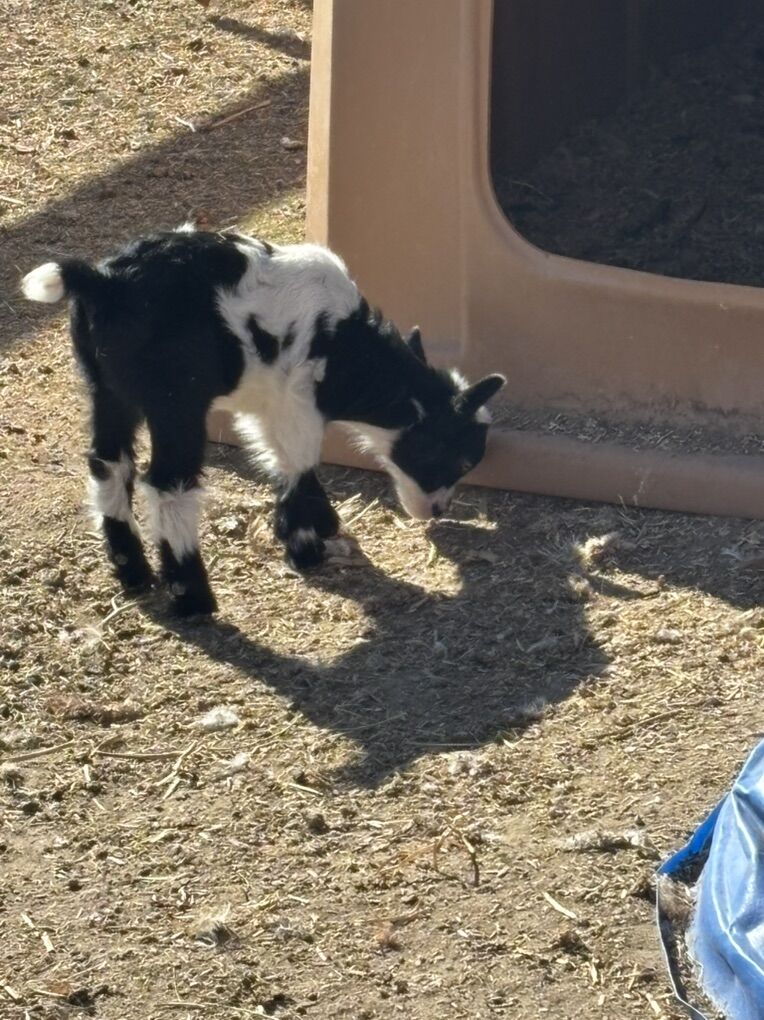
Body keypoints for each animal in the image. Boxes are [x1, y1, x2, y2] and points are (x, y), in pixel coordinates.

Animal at [22, 227, 505, 616]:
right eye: (460, 459)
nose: (438, 511)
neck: (347, 349)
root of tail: (103, 282)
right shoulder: (298, 401)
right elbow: (300, 462)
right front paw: (306, 546)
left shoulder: (266, 403)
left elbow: (280, 460)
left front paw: (317, 526)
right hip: (175, 403)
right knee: (169, 484)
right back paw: (192, 597)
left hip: (106, 388)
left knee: (108, 461)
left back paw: (132, 572)